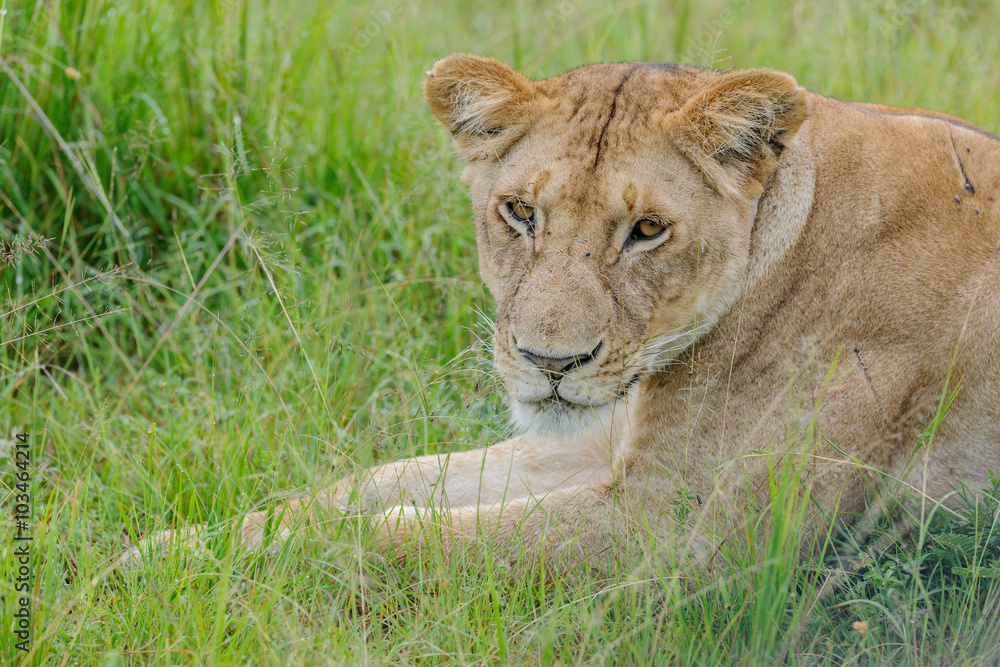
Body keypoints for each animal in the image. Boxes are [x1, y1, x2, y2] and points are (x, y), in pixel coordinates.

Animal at [123, 55, 1000, 574]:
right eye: (520, 213)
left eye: (646, 229)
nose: (550, 363)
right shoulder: (600, 441)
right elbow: (372, 483)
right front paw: (165, 545)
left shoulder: (685, 533)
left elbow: (409, 534)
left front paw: (194, 572)